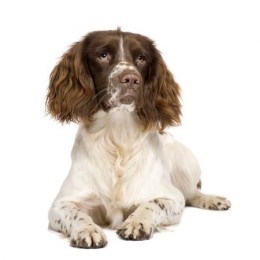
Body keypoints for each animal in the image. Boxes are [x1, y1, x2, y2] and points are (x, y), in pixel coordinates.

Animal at [45, 28, 231, 248]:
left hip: (186, 162)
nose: (131, 79)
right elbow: (75, 213)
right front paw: (87, 230)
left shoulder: (171, 197)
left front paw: (137, 223)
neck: (118, 135)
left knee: (192, 193)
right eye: (103, 55)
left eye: (141, 58)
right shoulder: (61, 203)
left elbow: (152, 203)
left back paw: (213, 200)